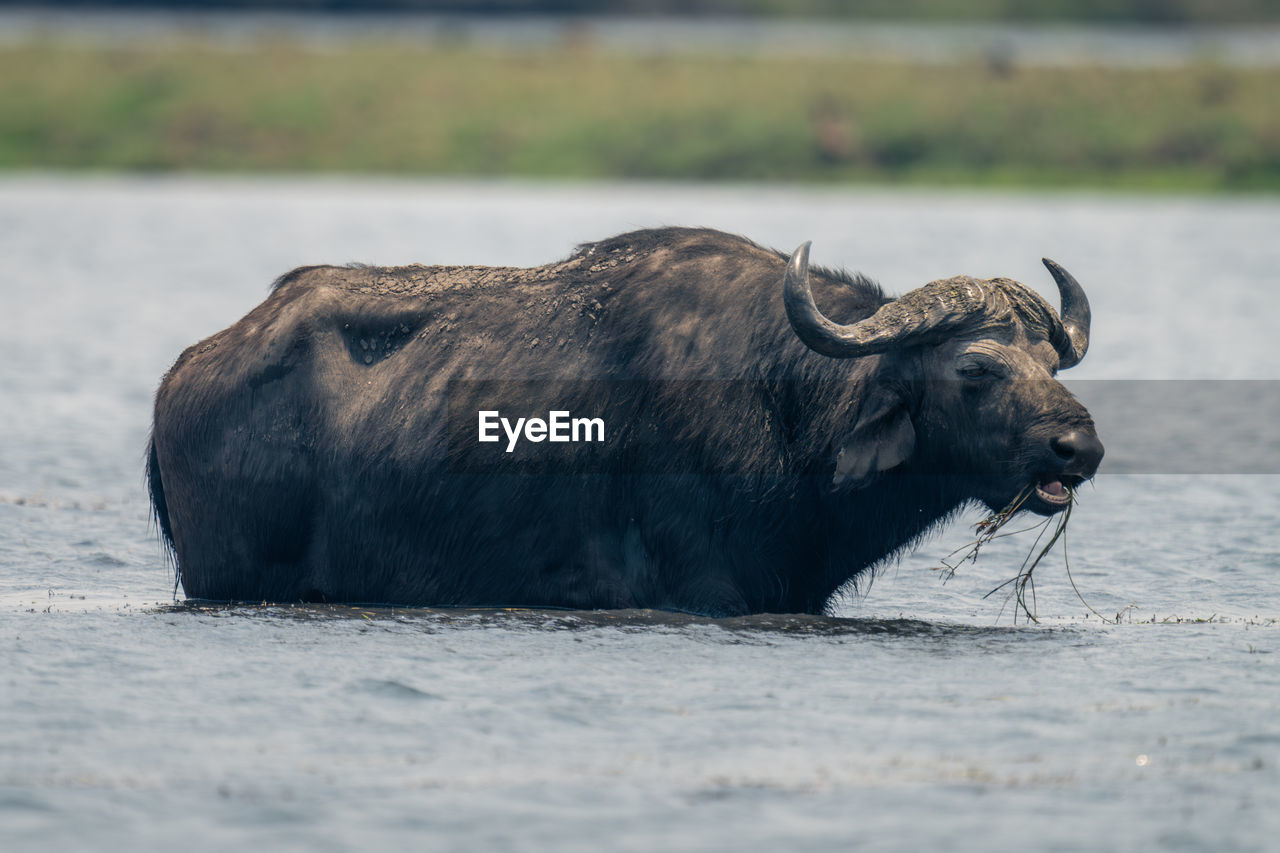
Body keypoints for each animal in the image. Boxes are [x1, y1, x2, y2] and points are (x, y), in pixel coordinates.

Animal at [147, 225, 1100, 612]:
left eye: (1052, 363)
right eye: (975, 367)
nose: (1079, 445)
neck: (789, 407)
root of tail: (181, 377)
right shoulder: (708, 588)